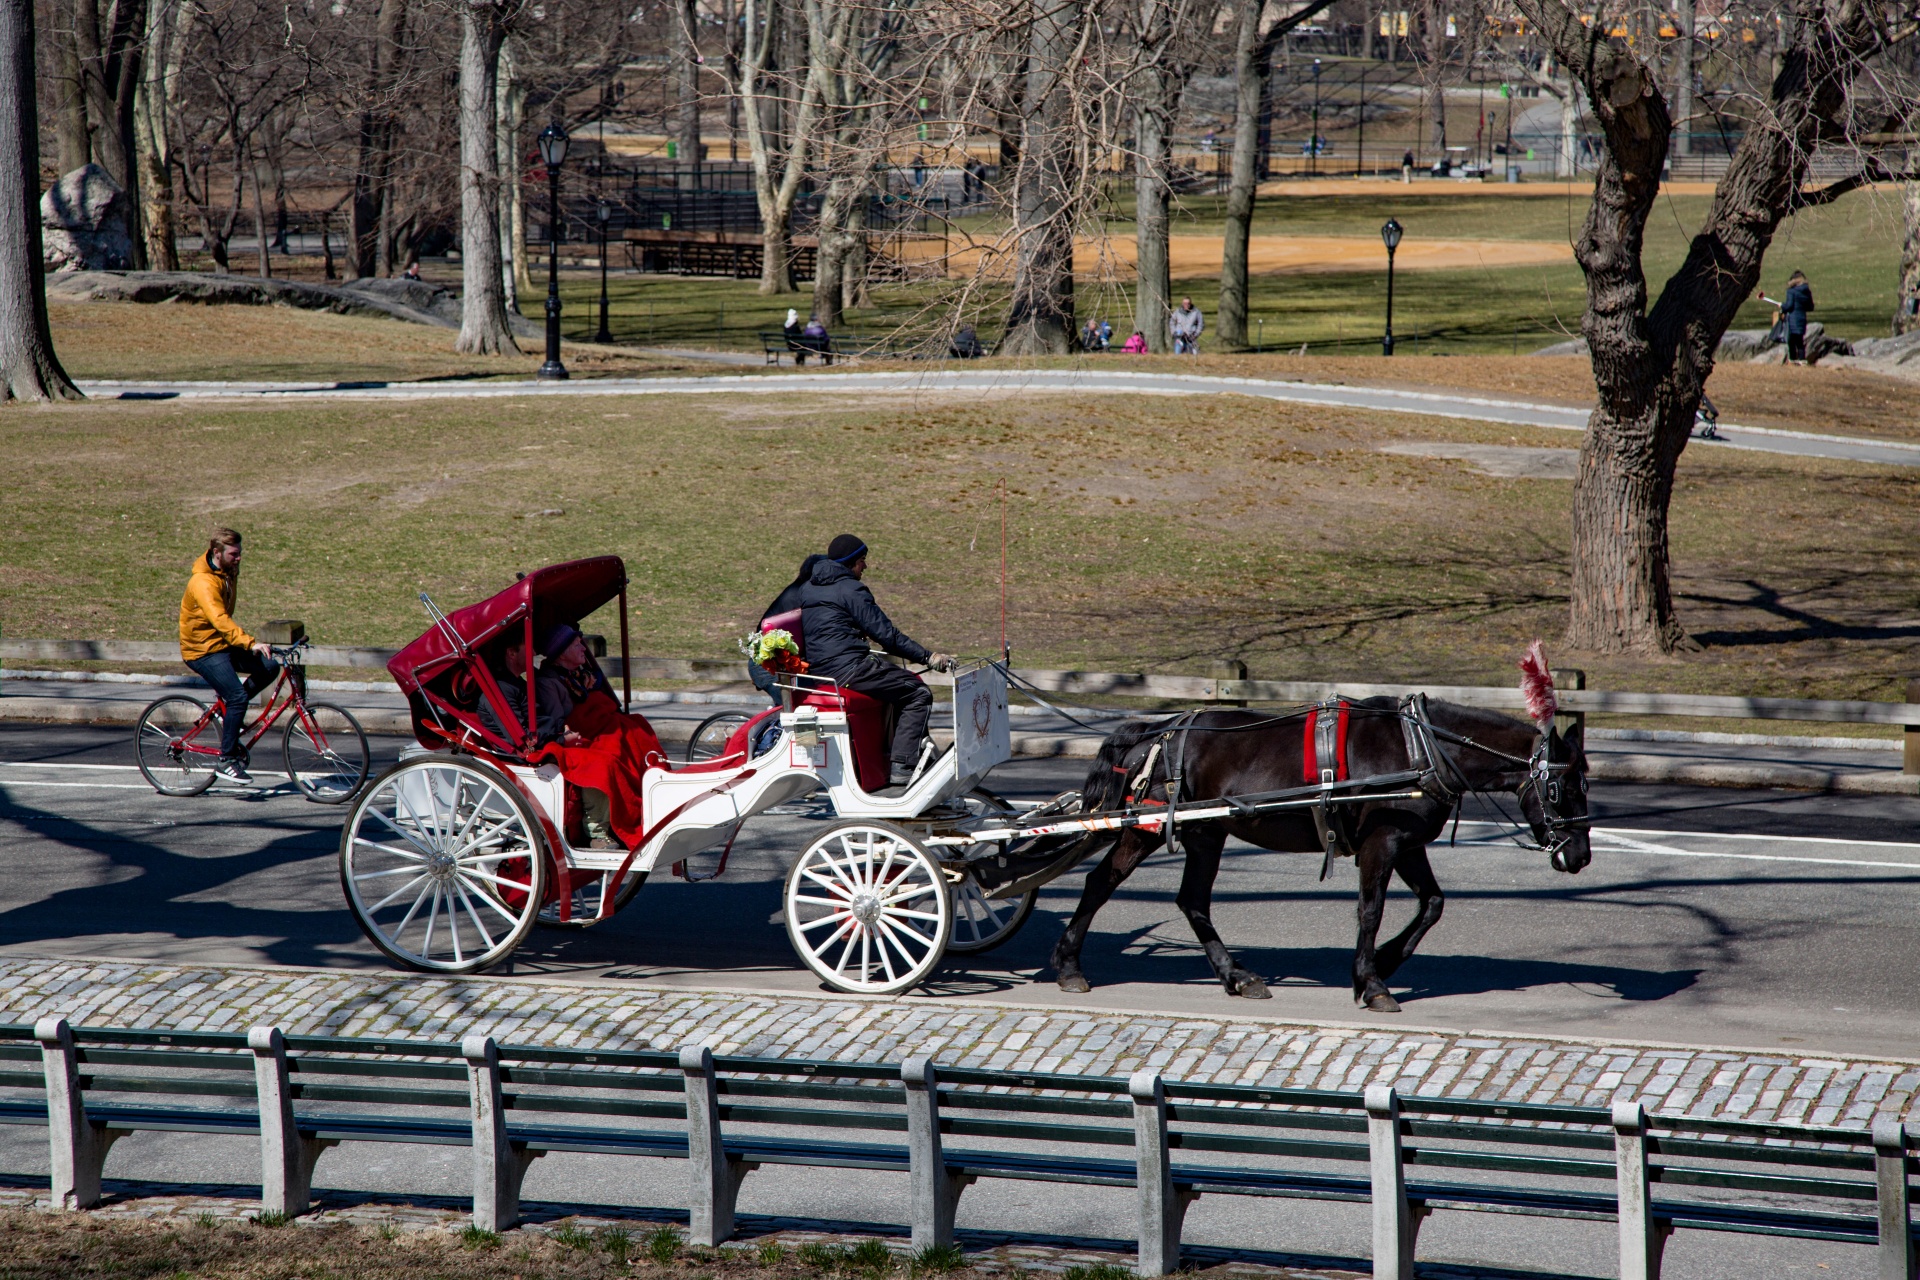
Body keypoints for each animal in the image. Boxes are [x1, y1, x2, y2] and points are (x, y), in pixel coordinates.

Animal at [1036, 702, 1589, 1013]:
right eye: (1561, 788)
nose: (1580, 856)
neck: (1420, 747)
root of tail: (1160, 729)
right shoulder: (1383, 841)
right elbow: (1370, 910)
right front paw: (1373, 982)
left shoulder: (1407, 842)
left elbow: (1432, 904)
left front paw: (1384, 961)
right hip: (1149, 830)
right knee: (1101, 883)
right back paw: (1068, 966)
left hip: (1206, 834)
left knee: (1191, 900)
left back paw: (1237, 976)